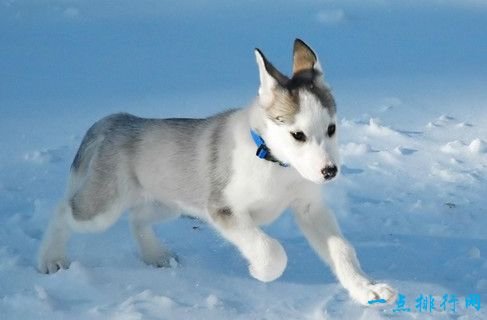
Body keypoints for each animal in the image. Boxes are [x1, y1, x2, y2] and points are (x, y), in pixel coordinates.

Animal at [37, 38, 396, 304]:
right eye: (298, 135)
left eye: (332, 129)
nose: (329, 171)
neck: (273, 162)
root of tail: (116, 120)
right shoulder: (223, 209)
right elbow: (270, 249)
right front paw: (260, 272)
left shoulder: (309, 208)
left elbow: (342, 250)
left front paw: (367, 289)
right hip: (102, 208)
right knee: (63, 210)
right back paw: (51, 259)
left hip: (168, 201)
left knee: (137, 218)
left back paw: (155, 255)